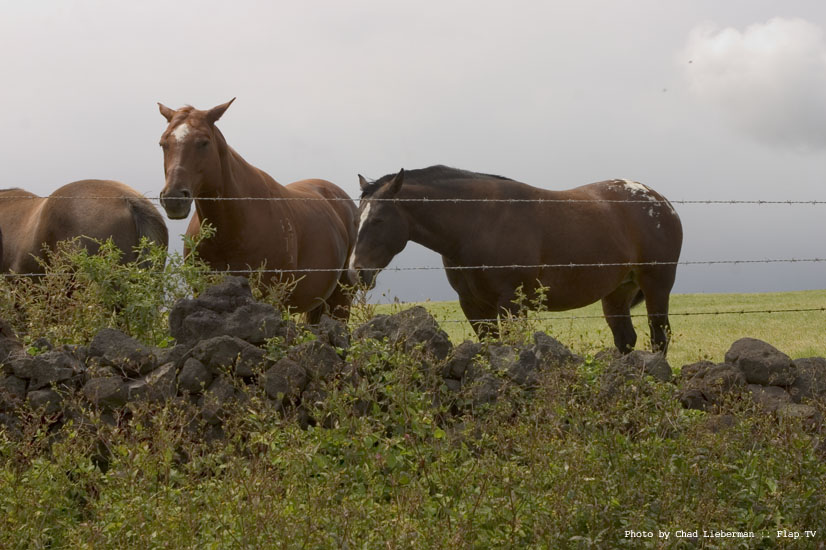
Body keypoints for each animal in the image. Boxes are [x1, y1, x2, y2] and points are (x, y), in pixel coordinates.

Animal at [158, 99, 358, 324]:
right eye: (163, 143)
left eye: (204, 142)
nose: (174, 197)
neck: (231, 232)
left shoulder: (271, 297)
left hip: (341, 300)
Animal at [348, 166, 684, 356]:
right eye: (358, 217)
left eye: (378, 220)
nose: (356, 273)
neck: (478, 222)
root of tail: (661, 202)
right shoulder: (473, 306)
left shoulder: (511, 303)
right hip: (616, 293)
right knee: (626, 340)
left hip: (656, 286)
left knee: (659, 338)